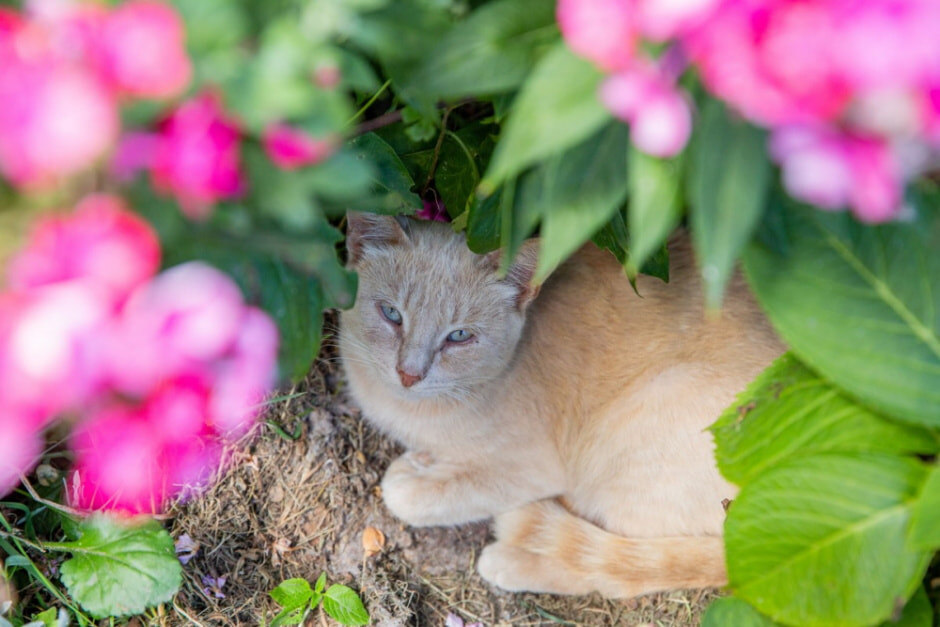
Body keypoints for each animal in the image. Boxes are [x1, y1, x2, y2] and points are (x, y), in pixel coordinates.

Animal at [340, 212, 784, 600]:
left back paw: (513, 560)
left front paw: (417, 471)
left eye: (459, 336)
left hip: (631, 429)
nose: (409, 373)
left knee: (616, 570)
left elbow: (413, 495)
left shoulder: (533, 467)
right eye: (391, 314)